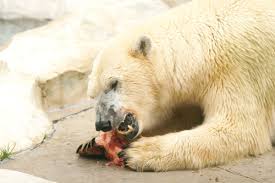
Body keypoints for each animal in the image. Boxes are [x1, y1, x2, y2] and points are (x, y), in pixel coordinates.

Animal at [87, 0, 275, 171]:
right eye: (92, 94)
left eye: (113, 83)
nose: (102, 123)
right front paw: (96, 143)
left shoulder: (238, 72)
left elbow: (239, 129)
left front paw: (137, 152)